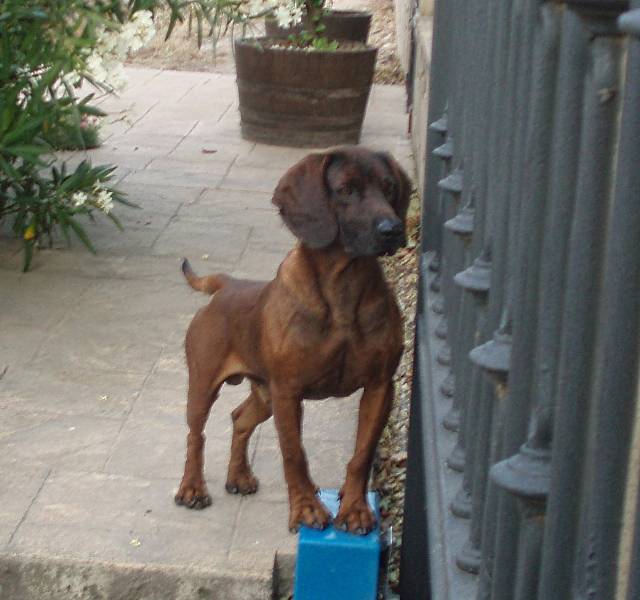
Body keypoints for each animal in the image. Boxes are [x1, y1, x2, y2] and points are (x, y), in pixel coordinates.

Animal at [175, 145, 410, 536]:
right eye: (345, 189)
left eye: (389, 186)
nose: (393, 229)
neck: (344, 287)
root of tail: (227, 284)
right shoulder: (288, 391)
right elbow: (293, 453)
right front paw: (307, 509)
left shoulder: (380, 386)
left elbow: (361, 454)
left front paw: (354, 508)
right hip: (204, 385)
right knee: (197, 434)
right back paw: (192, 488)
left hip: (264, 393)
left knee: (240, 418)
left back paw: (239, 476)